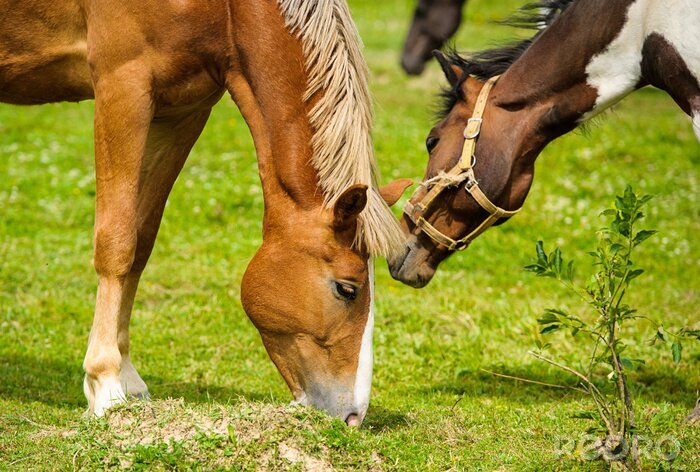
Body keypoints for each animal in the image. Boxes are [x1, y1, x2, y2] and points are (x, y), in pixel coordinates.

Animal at [0, 0, 412, 427]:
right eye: (348, 289)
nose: (353, 417)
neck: (227, 13)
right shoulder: (122, 85)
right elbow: (117, 242)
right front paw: (107, 385)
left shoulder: (182, 110)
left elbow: (140, 242)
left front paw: (129, 379)